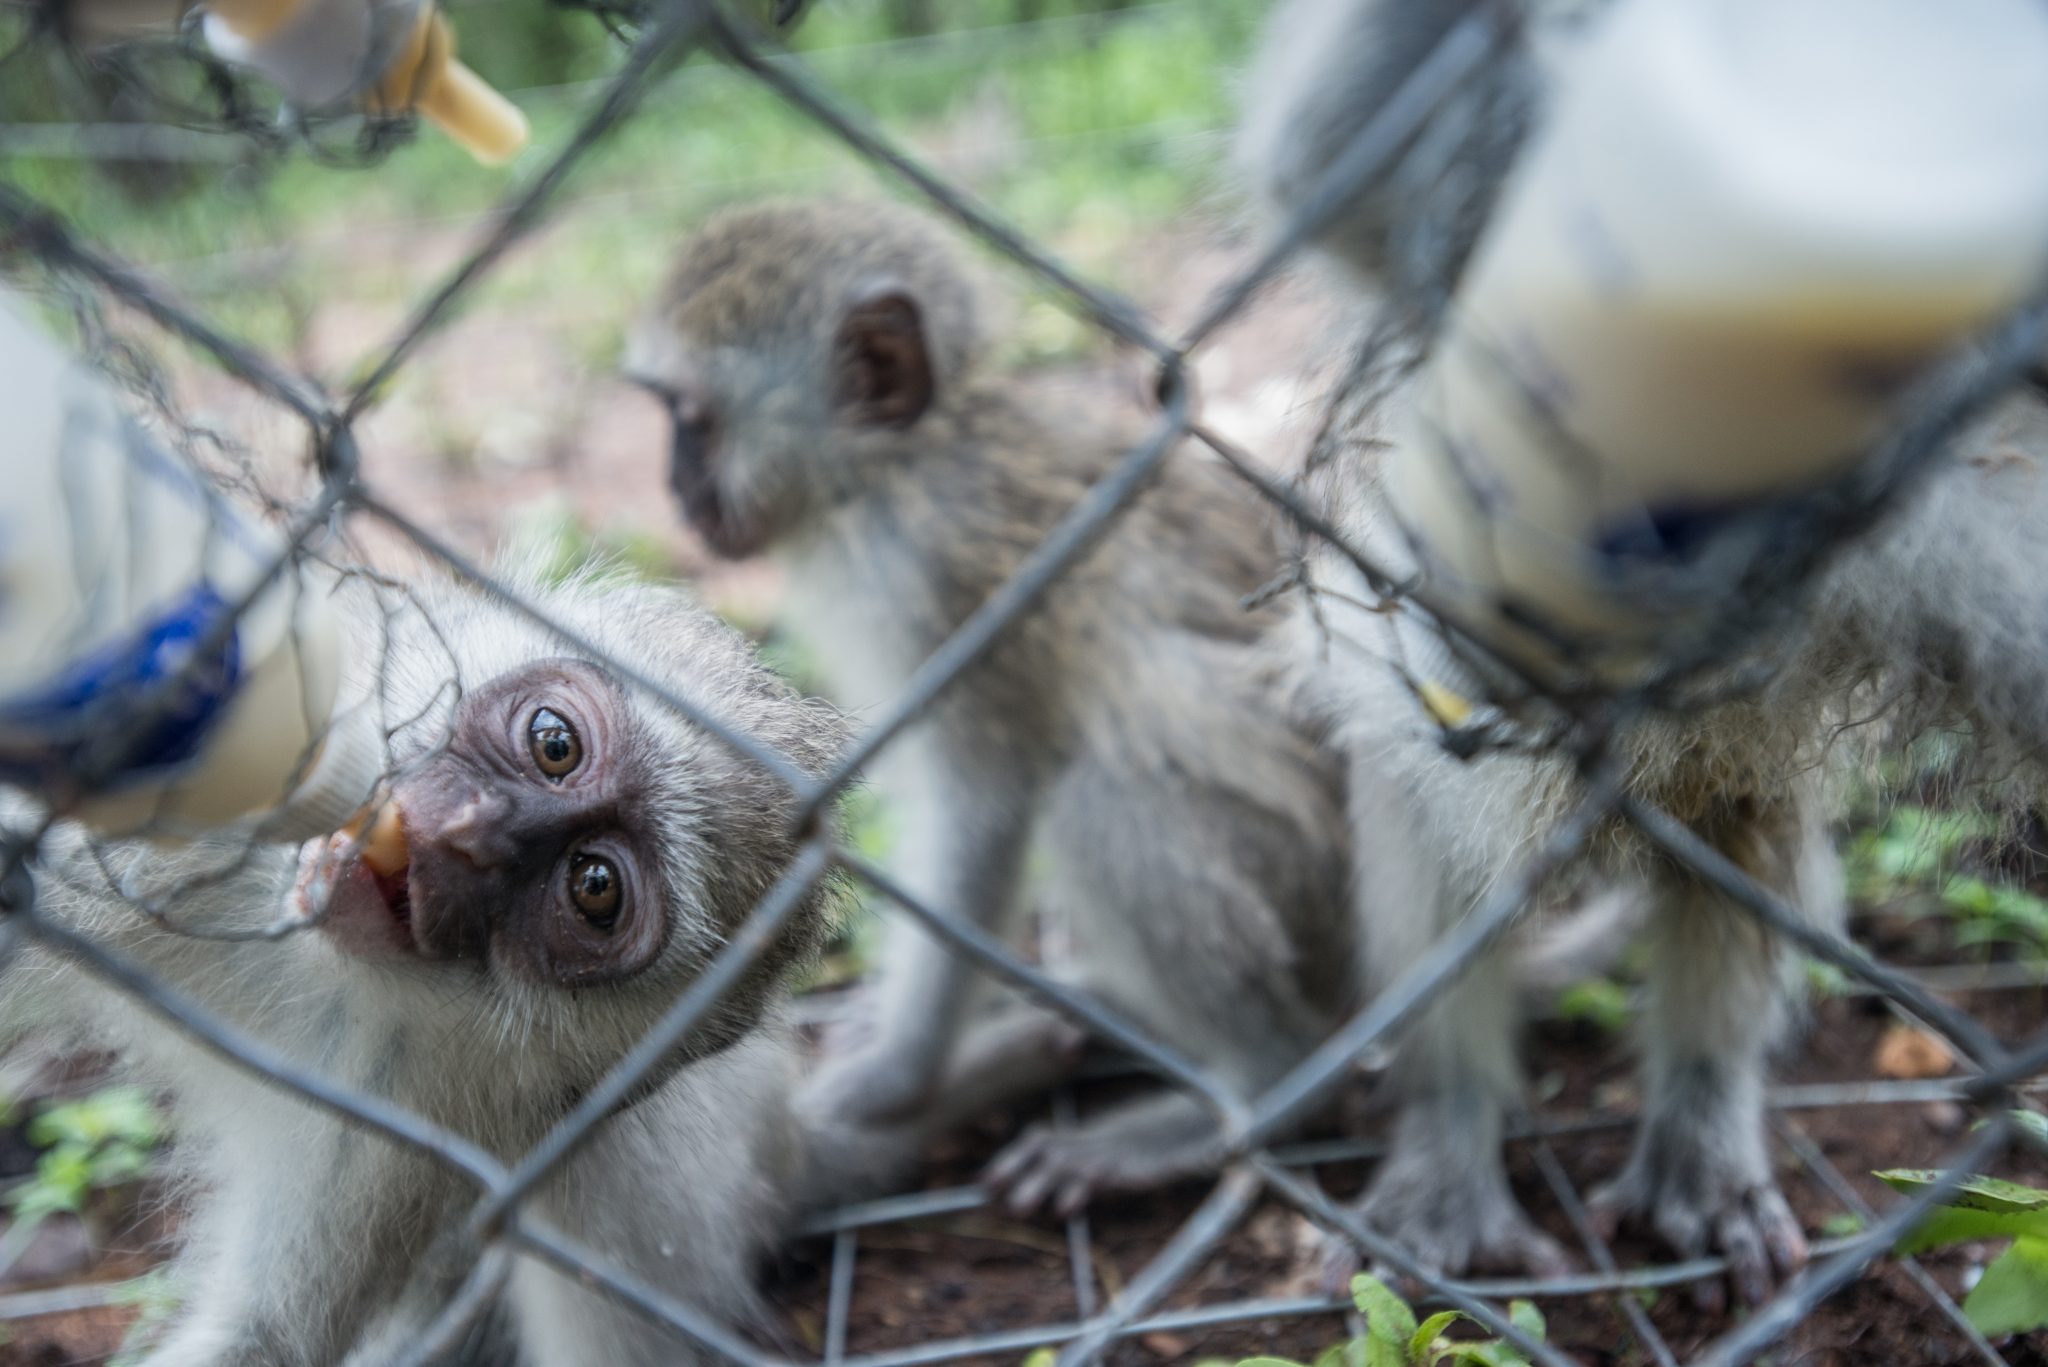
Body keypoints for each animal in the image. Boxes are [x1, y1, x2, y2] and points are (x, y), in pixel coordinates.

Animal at [0, 557, 850, 1366]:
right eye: (555, 742)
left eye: (594, 886)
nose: (471, 833)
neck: (313, 968)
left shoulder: (409, 1119)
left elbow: (266, 1335)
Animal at [622, 197, 1356, 1213]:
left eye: (692, 420)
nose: (674, 490)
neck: (901, 463)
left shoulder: (928, 576)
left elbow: (984, 804)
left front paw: (894, 1075)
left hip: (1300, 882)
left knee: (1103, 798)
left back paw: (1263, 1082)